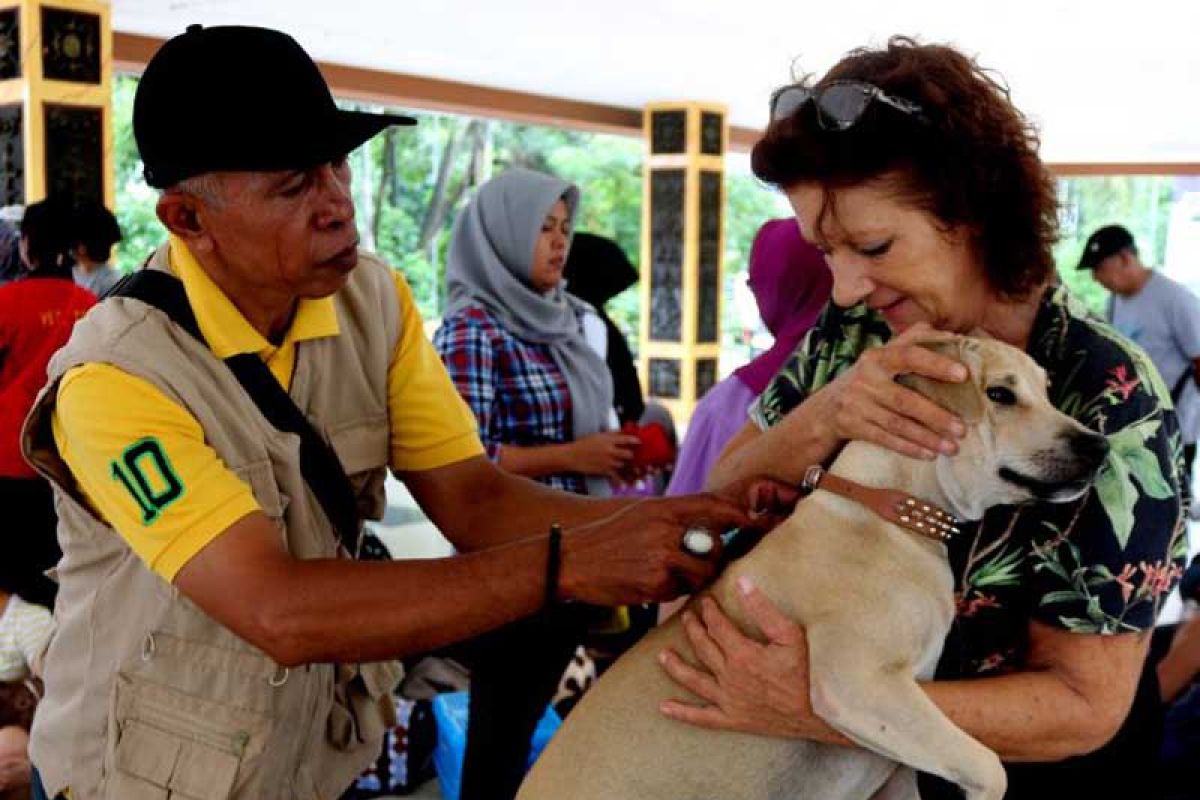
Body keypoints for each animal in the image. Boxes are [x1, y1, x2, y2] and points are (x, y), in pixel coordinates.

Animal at [520, 338, 1108, 800]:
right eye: (1000, 395)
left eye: (1047, 389)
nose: (1099, 445)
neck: (888, 511)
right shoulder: (857, 682)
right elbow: (987, 765)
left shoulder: (895, 760)